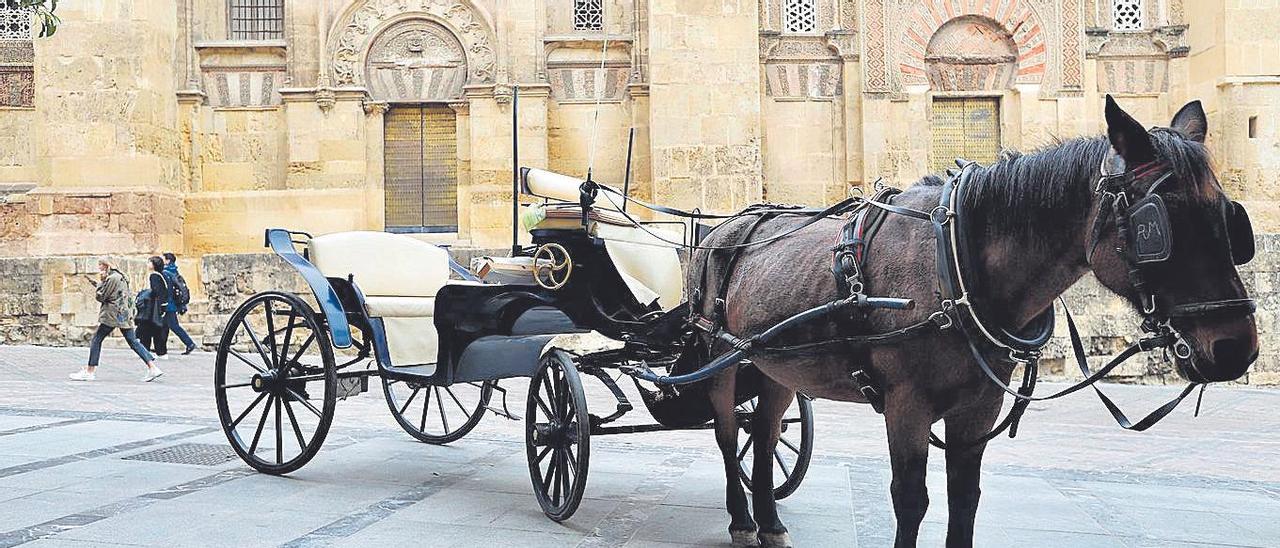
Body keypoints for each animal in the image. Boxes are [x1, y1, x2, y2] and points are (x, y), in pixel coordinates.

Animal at [691, 99, 1259, 548]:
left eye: (1229, 216)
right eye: (1158, 225)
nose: (1237, 347)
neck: (955, 263)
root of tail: (725, 226)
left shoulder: (978, 407)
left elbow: (964, 500)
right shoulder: (906, 403)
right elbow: (910, 500)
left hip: (772, 366)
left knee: (764, 434)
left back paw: (769, 522)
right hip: (720, 360)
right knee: (728, 434)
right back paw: (742, 519)